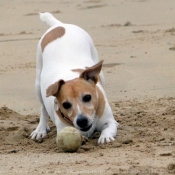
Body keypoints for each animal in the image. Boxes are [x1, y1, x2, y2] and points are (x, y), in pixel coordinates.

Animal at [30, 11, 118, 144]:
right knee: (43, 109)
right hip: (38, 86)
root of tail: (59, 25)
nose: (81, 121)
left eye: (87, 97)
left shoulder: (108, 121)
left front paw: (105, 137)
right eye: (66, 105)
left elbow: (109, 127)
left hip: (99, 71)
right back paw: (40, 129)